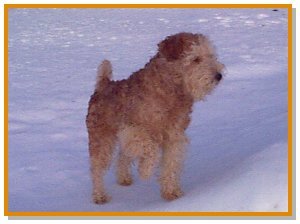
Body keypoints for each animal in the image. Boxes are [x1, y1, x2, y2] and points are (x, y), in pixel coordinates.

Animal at [85, 32, 224, 204]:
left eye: (211, 55)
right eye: (196, 59)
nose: (219, 76)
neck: (169, 89)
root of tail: (103, 85)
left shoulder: (174, 136)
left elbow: (171, 163)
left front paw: (171, 192)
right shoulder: (133, 130)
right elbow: (151, 150)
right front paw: (145, 171)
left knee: (122, 157)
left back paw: (124, 179)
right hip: (101, 139)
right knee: (97, 169)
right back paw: (100, 196)